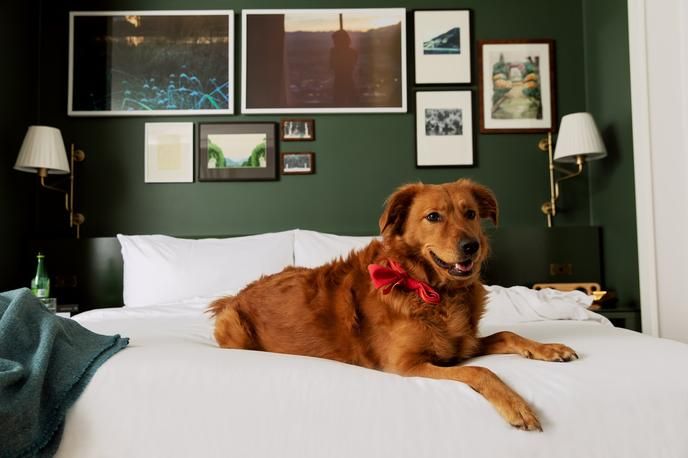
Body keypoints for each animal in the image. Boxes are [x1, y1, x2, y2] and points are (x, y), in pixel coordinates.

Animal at [210, 179, 576, 430]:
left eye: (470, 214)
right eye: (433, 216)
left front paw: (550, 348)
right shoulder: (407, 365)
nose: (472, 246)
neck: (430, 288)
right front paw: (517, 406)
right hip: (234, 329)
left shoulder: (463, 345)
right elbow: (481, 370)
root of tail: (236, 295)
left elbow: (506, 334)